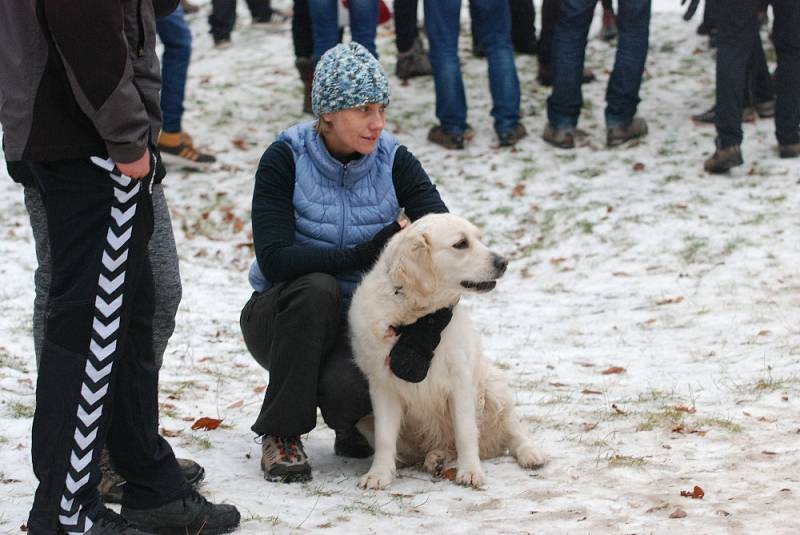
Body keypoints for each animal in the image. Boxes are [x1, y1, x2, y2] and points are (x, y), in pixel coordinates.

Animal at [346, 214, 548, 490]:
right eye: (461, 244)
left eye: (478, 238)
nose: (504, 262)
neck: (416, 320)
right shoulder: (382, 386)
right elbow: (385, 438)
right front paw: (379, 474)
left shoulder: (460, 381)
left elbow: (465, 432)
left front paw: (470, 471)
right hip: (365, 421)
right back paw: (435, 458)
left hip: (495, 387)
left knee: (514, 432)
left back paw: (530, 454)